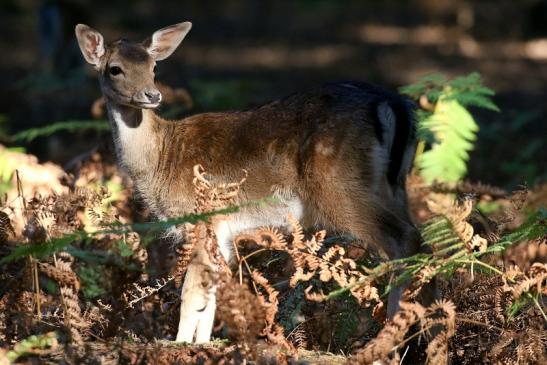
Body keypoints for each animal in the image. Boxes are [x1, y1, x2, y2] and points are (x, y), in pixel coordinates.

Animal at [76, 21, 436, 342]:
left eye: (153, 67)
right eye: (115, 69)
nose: (152, 95)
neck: (161, 161)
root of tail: (395, 105)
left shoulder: (201, 217)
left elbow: (191, 292)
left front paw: (178, 344)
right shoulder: (221, 229)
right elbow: (213, 293)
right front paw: (203, 343)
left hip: (340, 186)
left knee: (405, 240)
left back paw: (394, 338)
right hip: (393, 187)